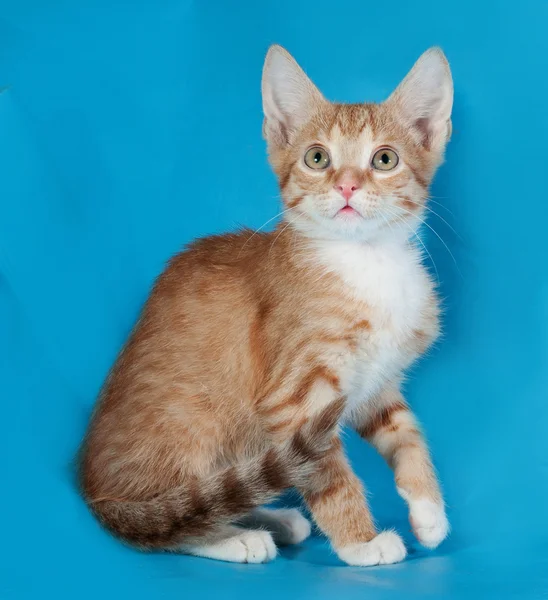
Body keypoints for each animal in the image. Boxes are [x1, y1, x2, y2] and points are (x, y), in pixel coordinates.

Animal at [79, 44, 452, 564]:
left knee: (215, 498)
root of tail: (95, 494)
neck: (367, 261)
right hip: (195, 423)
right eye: (317, 158)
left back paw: (270, 518)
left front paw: (428, 510)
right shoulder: (295, 402)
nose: (347, 186)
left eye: (384, 159)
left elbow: (405, 432)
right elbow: (328, 474)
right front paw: (359, 542)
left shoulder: (376, 385)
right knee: (173, 521)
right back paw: (236, 537)